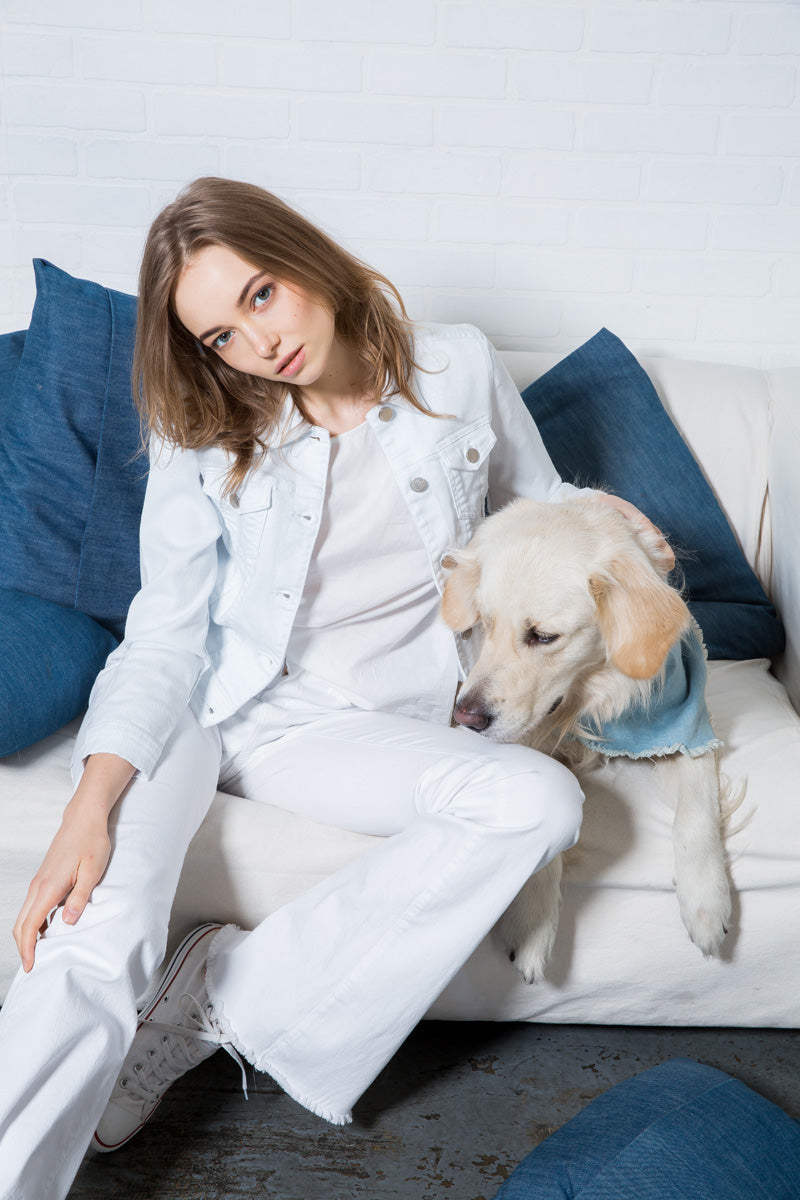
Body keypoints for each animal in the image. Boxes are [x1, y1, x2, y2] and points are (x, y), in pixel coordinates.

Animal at [441, 496, 736, 983]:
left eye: (543, 636)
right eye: (485, 621)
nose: (466, 716)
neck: (592, 698)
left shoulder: (690, 727)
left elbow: (696, 814)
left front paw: (707, 905)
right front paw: (532, 921)